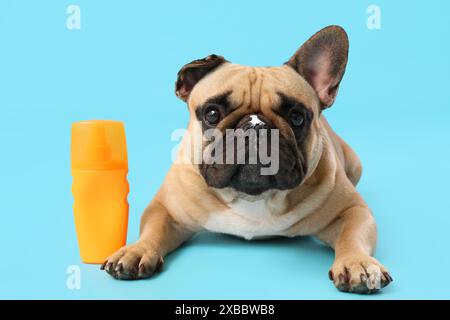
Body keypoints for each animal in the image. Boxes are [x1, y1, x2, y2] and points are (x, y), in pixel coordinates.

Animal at [103, 26, 392, 294]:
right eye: (211, 113)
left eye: (297, 117)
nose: (255, 127)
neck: (254, 198)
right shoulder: (165, 209)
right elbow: (153, 229)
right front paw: (136, 250)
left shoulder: (353, 211)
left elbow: (352, 236)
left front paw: (357, 263)